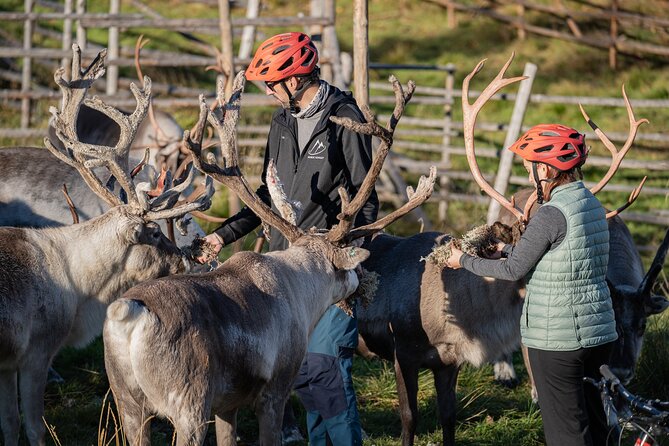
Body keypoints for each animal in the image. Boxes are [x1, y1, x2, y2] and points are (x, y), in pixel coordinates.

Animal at [0, 45, 214, 446]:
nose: (186, 260)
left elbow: (8, 424)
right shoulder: (35, 354)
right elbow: (33, 426)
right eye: (156, 232)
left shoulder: (7, 363)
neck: (74, 274)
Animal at [356, 53, 668, 446]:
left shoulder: (448, 362)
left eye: (642, 325)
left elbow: (448, 417)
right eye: (518, 242)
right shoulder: (404, 354)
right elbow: (410, 420)